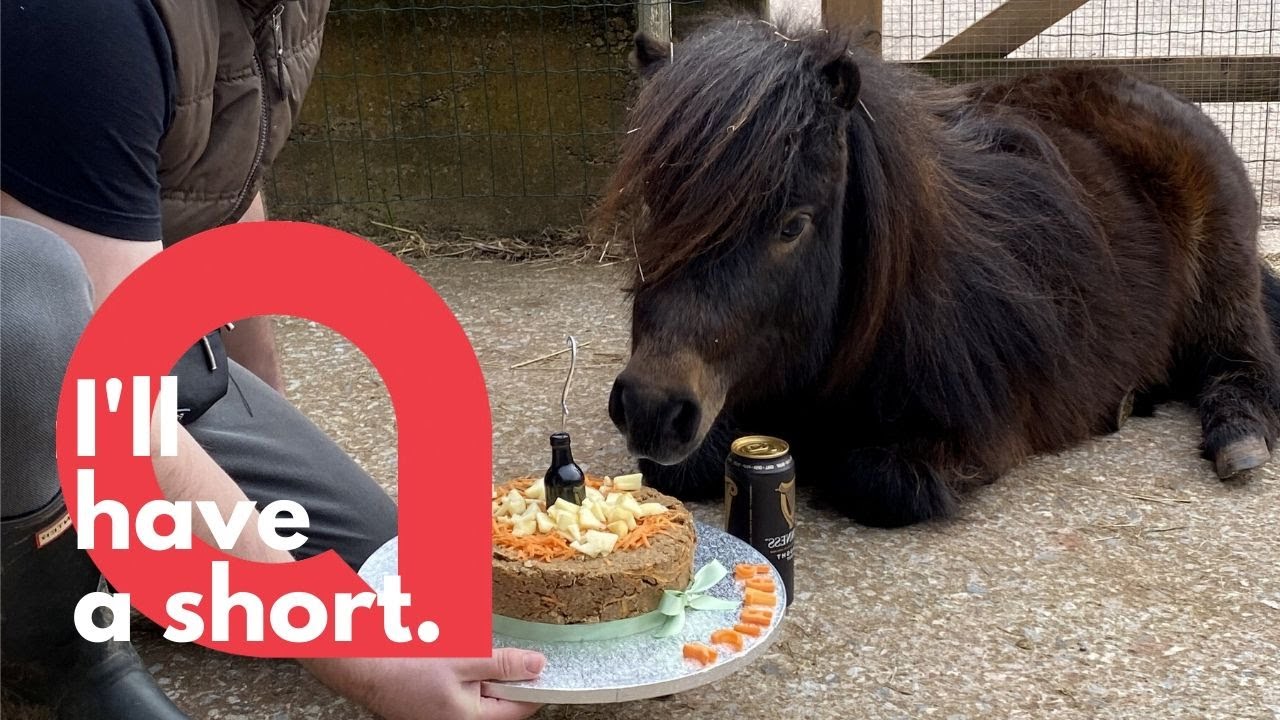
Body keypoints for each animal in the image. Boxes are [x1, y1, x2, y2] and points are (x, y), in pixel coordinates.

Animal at [596, 16, 1280, 527]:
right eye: (652, 207)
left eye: (792, 224)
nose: (652, 408)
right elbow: (686, 466)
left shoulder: (973, 440)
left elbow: (875, 478)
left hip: (1225, 276)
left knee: (1242, 356)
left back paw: (1238, 433)